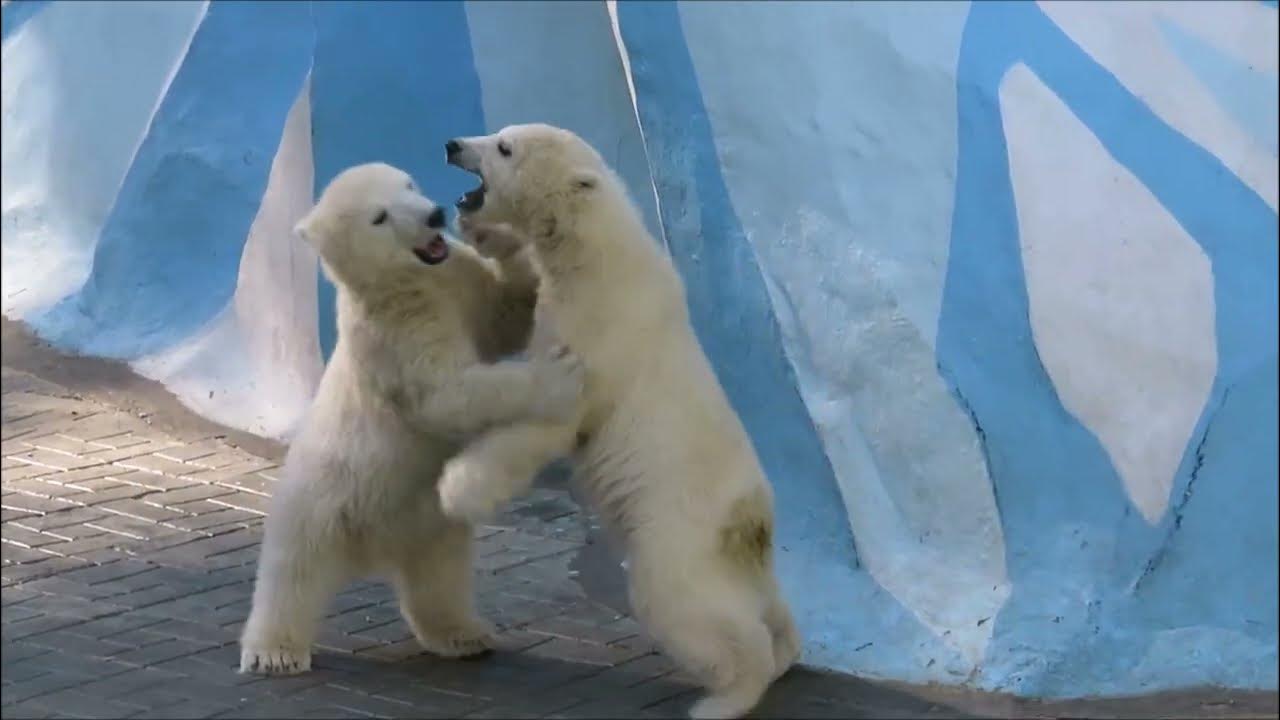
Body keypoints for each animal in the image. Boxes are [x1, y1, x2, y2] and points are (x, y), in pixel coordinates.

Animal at [238, 161, 583, 671]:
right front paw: (560, 378)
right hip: (317, 499)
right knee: (291, 573)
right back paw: (273, 652)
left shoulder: (456, 283)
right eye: (380, 217)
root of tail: (372, 549)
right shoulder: (394, 333)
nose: (435, 215)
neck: (408, 281)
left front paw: (490, 232)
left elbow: (507, 311)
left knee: (439, 578)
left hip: (430, 521)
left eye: (408, 184)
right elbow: (446, 393)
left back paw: (463, 635)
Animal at [440, 126, 798, 712]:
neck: (599, 254)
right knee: (763, 598)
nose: (452, 144)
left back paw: (726, 696)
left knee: (684, 604)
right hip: (736, 554)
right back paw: (786, 650)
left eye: (504, 148)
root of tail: (751, 521)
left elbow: (549, 419)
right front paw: (486, 233)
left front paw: (457, 490)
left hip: (674, 532)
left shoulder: (596, 333)